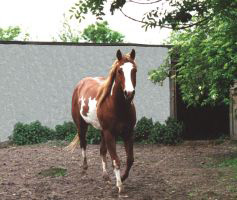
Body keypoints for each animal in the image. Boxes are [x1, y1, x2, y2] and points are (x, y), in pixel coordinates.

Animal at [65, 48, 138, 192]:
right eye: (120, 71)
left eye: (134, 70)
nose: (129, 93)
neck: (118, 106)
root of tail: (80, 83)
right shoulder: (110, 133)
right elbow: (116, 160)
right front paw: (119, 186)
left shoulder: (128, 133)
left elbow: (130, 159)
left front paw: (122, 178)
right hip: (82, 126)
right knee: (83, 144)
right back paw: (84, 169)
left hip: (102, 131)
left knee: (102, 150)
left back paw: (105, 176)